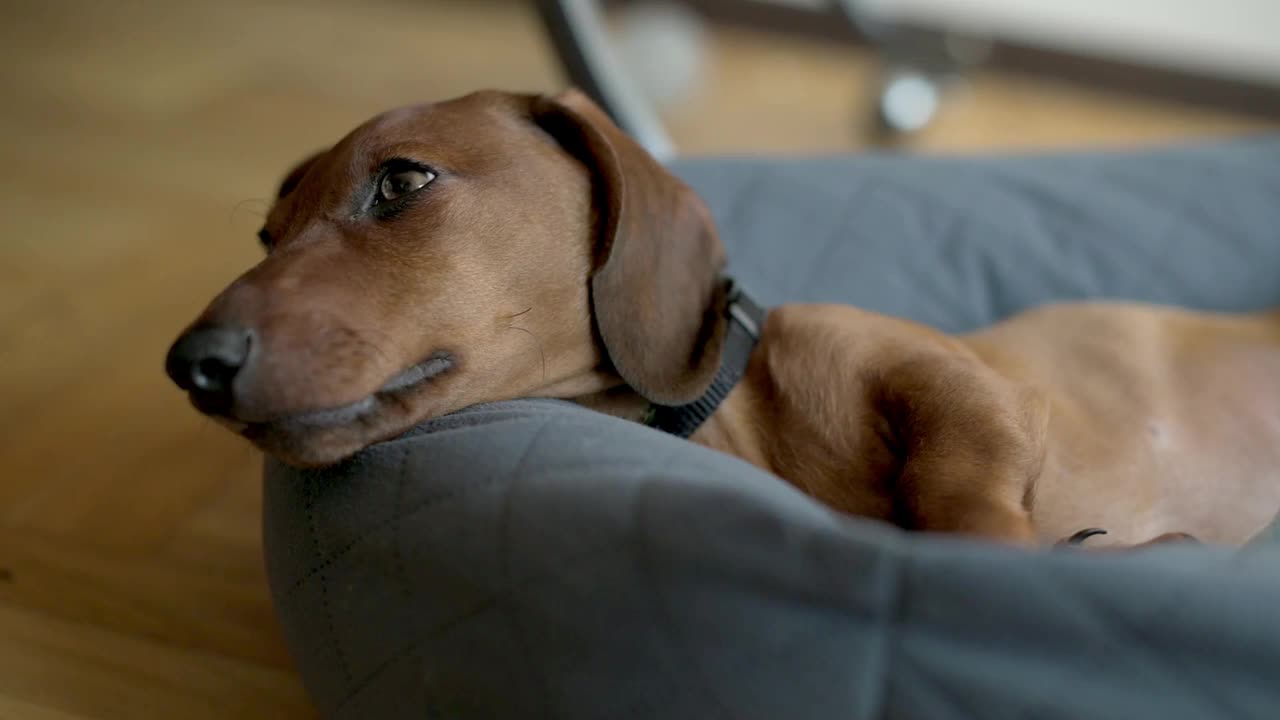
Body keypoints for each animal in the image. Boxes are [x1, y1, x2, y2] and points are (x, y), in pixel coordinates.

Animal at [165, 90, 1280, 548]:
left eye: (400, 182)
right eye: (266, 235)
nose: (191, 364)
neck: (741, 424)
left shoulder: (962, 384)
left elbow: (955, 477)